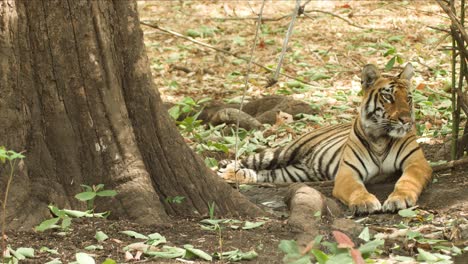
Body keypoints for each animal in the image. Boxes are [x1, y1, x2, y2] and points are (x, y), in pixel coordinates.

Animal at [218, 63, 432, 214]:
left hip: (293, 173)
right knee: (248, 160)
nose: (406, 120)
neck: (380, 137)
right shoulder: (347, 172)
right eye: (389, 98)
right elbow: (356, 188)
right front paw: (365, 203)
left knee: (263, 174)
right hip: (284, 151)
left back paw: (236, 175)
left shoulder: (416, 162)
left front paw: (398, 199)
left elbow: (407, 181)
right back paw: (225, 171)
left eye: (409, 98)